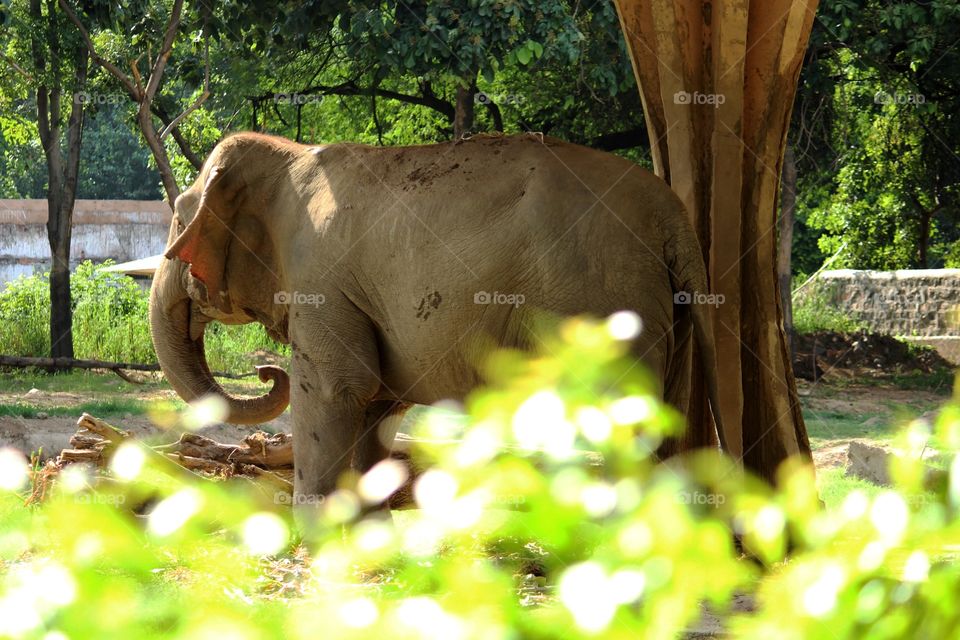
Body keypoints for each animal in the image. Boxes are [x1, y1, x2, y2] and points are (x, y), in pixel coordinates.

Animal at [150, 132, 725, 506]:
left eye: (177, 223)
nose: (266, 370)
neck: (289, 154)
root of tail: (673, 215)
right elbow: (377, 401)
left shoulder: (323, 280)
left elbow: (337, 388)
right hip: (662, 316)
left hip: (603, 305)